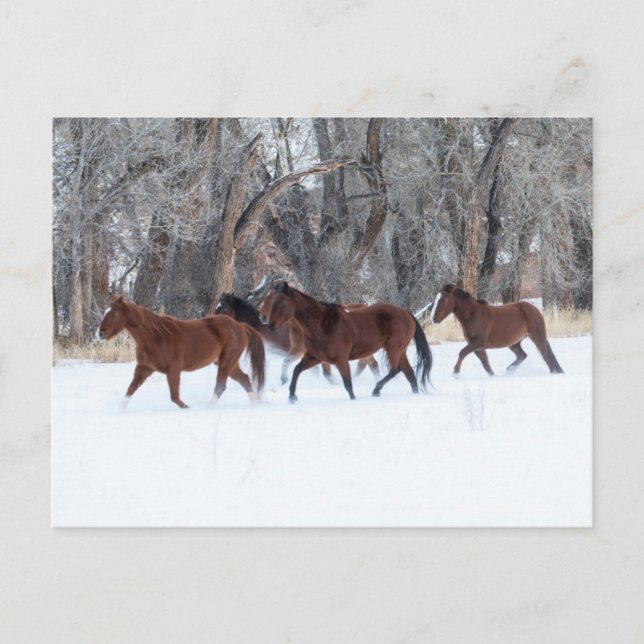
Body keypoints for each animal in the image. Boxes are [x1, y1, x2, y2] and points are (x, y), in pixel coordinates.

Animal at [96, 295, 265, 409]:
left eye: (112, 314)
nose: (99, 334)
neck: (155, 336)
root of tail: (240, 326)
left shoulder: (173, 370)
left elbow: (175, 397)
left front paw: (188, 408)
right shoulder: (144, 368)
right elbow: (130, 390)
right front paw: (120, 410)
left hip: (226, 360)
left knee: (221, 386)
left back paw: (208, 408)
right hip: (228, 363)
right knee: (245, 379)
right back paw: (255, 404)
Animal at [259, 282, 432, 402]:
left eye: (281, 302)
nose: (268, 324)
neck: (322, 324)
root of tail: (407, 313)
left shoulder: (341, 359)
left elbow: (348, 383)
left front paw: (353, 400)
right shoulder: (315, 357)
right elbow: (296, 370)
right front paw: (292, 397)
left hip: (393, 349)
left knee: (395, 370)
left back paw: (376, 390)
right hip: (400, 350)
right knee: (409, 374)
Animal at [430, 284, 564, 376]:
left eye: (444, 299)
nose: (434, 318)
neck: (473, 315)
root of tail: (534, 309)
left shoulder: (478, 342)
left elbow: (462, 353)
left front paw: (455, 374)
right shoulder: (477, 347)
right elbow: (485, 364)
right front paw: (493, 376)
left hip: (537, 337)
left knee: (546, 357)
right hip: (514, 343)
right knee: (523, 355)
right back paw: (510, 369)